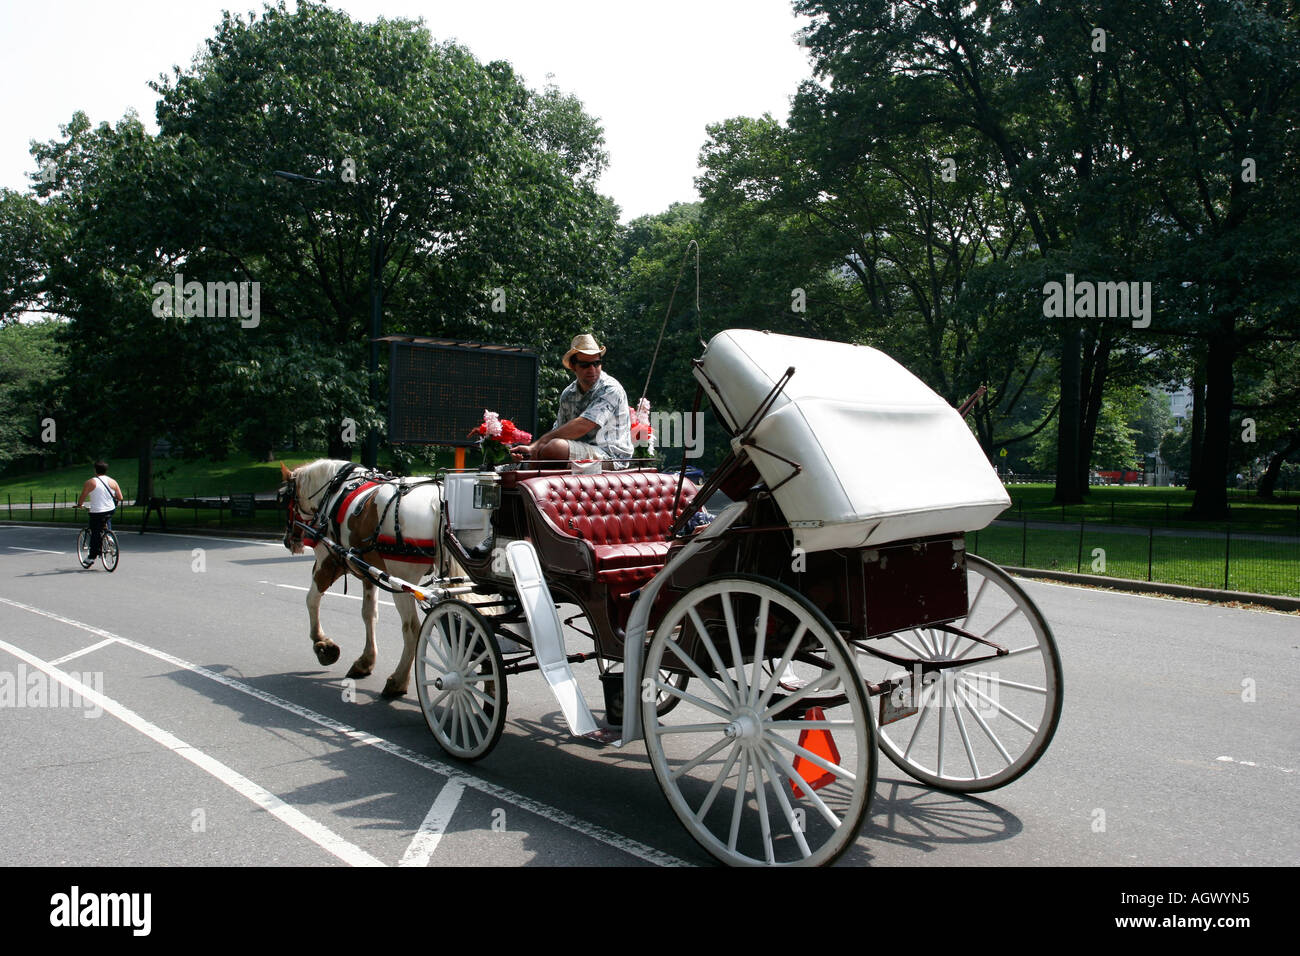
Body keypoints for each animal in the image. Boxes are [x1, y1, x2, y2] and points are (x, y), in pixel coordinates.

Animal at [276, 460, 470, 697]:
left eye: (285, 499)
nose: (288, 540)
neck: (334, 492)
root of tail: (437, 502)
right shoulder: (368, 573)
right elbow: (369, 614)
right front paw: (365, 661)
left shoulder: (328, 562)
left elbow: (311, 599)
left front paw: (323, 645)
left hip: (404, 581)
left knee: (412, 630)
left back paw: (398, 680)